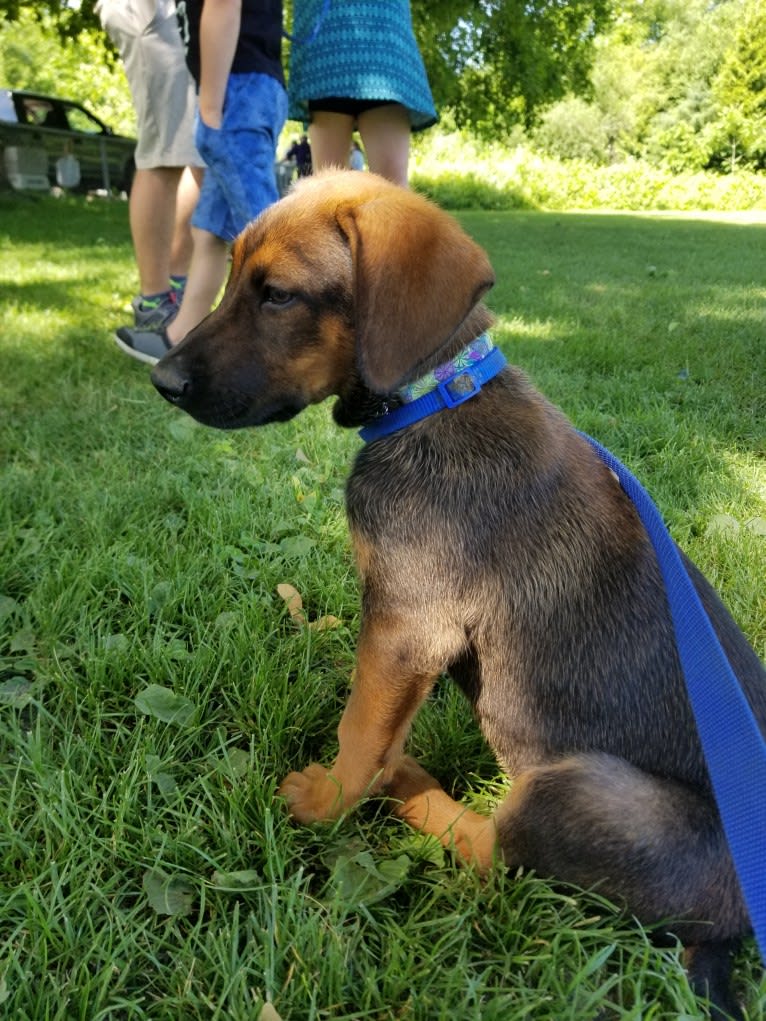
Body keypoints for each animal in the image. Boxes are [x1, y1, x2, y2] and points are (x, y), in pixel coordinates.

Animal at [151, 171, 766, 1016]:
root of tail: (736, 933)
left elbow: (360, 727)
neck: (436, 394)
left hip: (577, 791)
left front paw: (330, 799)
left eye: (277, 295)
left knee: (497, 859)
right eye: (236, 274)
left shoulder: (407, 624)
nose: (162, 381)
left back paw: (411, 789)